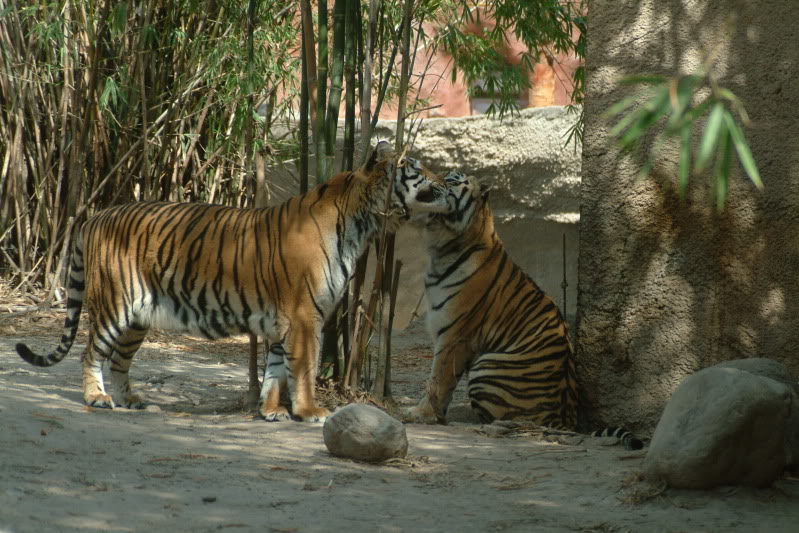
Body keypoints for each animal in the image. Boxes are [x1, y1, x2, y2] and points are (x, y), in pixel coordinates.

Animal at [15, 141, 450, 424]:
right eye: (415, 167)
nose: (448, 178)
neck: (361, 221)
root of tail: (96, 217)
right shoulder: (305, 317)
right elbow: (304, 368)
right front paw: (310, 411)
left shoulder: (284, 321)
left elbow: (276, 369)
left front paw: (271, 411)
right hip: (114, 305)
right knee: (91, 353)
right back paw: (97, 398)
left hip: (138, 316)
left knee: (120, 360)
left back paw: (131, 400)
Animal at [410, 171, 648, 448]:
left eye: (454, 181)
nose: (431, 179)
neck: (444, 245)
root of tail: (563, 420)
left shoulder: (454, 336)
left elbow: (438, 380)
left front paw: (421, 413)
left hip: (486, 366)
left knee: (503, 419)